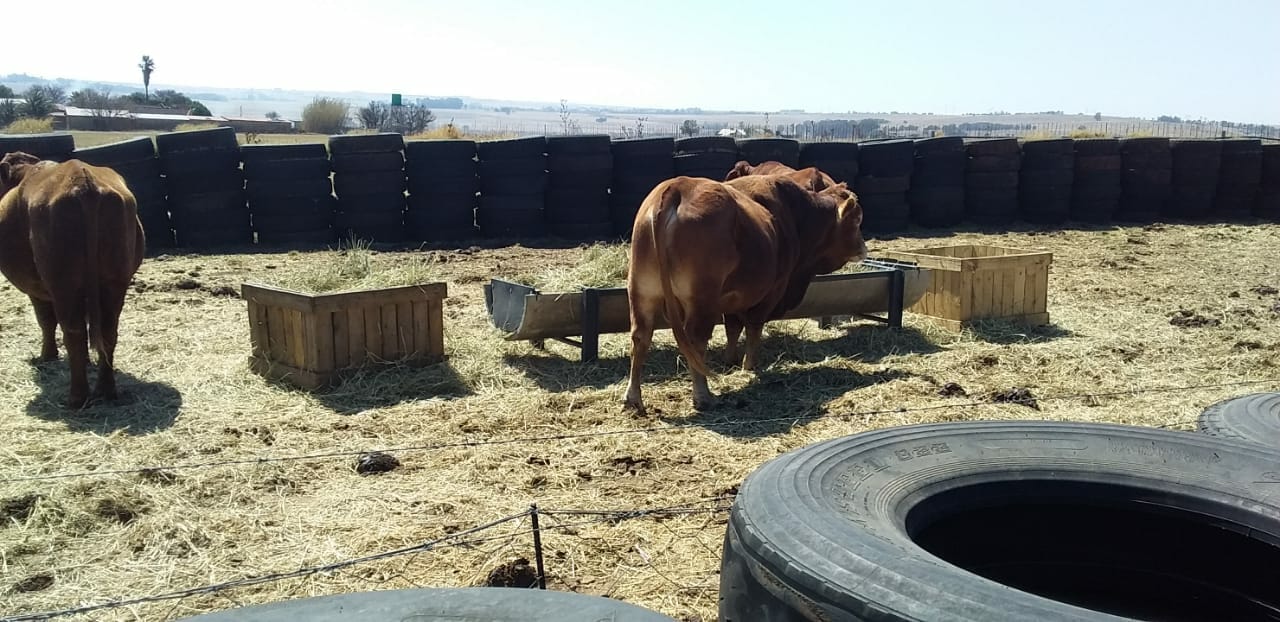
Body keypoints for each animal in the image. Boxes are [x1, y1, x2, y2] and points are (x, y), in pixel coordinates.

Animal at [0, 152, 146, 408]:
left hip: (63, 284)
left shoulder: (36, 289)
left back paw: (77, 398)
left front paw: (47, 356)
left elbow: (46, 321)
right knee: (107, 331)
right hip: (114, 282)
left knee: (73, 331)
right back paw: (106, 390)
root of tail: (83, 181)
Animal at [623, 171, 865, 413]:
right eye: (857, 220)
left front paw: (730, 359)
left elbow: (732, 327)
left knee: (641, 336)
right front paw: (748, 366)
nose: (863, 247)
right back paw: (703, 396)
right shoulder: (771, 292)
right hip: (701, 301)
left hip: (642, 292)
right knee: (695, 341)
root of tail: (678, 186)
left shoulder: (731, 297)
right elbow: (753, 328)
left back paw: (633, 398)